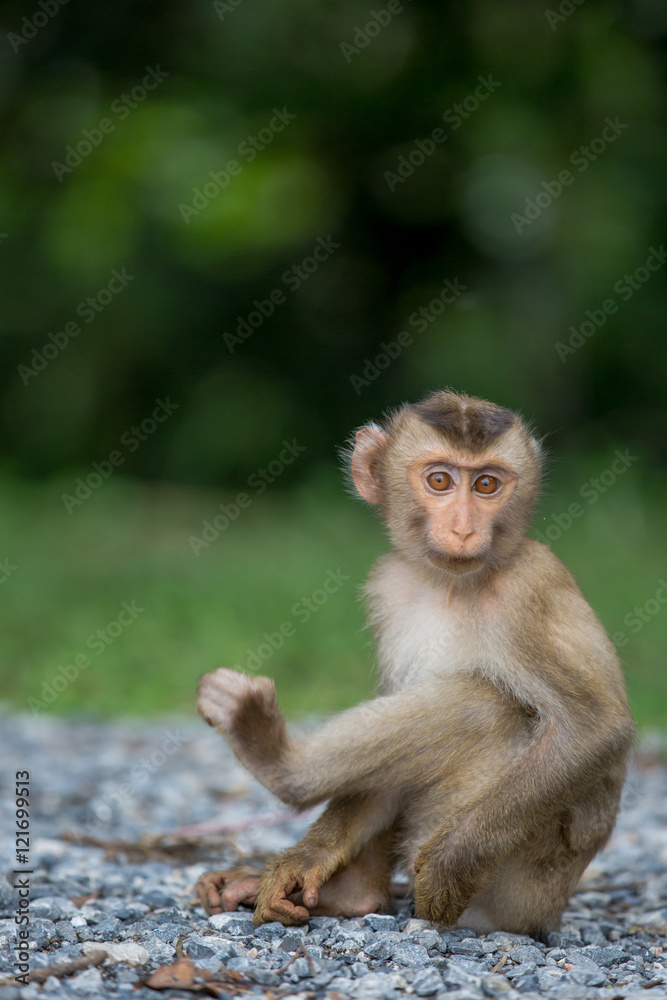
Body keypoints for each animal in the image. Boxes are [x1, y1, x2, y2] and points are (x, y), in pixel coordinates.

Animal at [196, 390, 636, 936]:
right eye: (440, 481)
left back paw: (277, 761)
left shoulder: (527, 590)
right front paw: (311, 856)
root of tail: (547, 912)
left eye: (487, 484)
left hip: (524, 879)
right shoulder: (389, 587)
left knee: (482, 705)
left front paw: (453, 861)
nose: (464, 528)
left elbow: (597, 728)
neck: (450, 584)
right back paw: (349, 892)